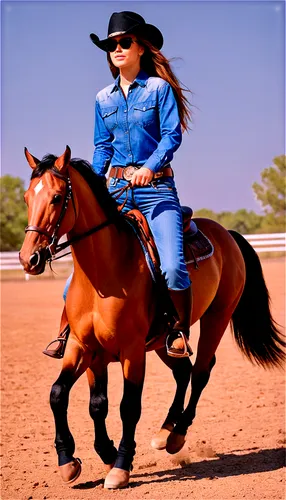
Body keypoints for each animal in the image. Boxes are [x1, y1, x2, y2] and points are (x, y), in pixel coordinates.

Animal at [19, 146, 284, 488]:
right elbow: (74, 399)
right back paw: (164, 432)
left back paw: (177, 435)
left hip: (217, 317)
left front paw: (119, 466)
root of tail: (226, 233)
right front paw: (75, 460)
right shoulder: (85, 348)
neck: (106, 273)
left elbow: (128, 406)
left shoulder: (132, 352)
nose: (29, 258)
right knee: (183, 372)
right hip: (163, 342)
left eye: (55, 197)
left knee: (200, 372)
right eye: (27, 197)